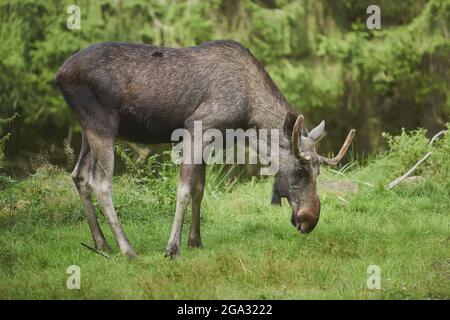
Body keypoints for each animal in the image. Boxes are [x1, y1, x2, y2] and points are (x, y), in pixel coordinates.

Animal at [54, 40, 356, 260]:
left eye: (317, 172)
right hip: (103, 124)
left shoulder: (212, 137)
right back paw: (127, 249)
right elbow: (185, 190)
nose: (310, 220)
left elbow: (199, 189)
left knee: (79, 175)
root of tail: (60, 75)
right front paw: (172, 248)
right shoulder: (196, 128)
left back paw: (101, 244)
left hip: (89, 129)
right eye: (300, 170)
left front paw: (195, 241)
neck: (248, 112)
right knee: (101, 183)